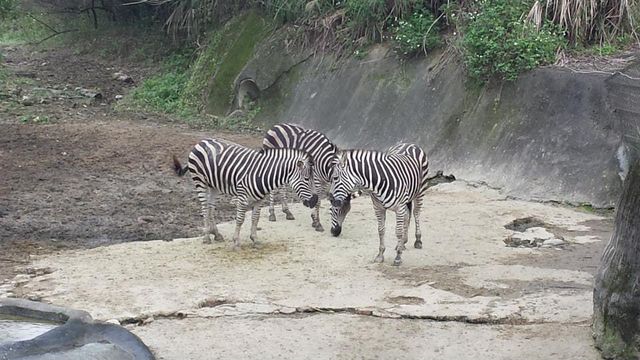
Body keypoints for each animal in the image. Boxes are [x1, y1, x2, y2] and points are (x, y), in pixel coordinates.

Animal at [172, 136, 318, 249]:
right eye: (306, 179)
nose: (315, 201)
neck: (263, 174)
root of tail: (201, 141)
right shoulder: (242, 197)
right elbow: (240, 219)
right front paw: (236, 242)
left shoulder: (260, 199)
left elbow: (255, 218)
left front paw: (255, 239)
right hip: (200, 181)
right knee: (204, 208)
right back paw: (207, 237)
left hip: (214, 185)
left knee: (210, 207)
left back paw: (216, 234)